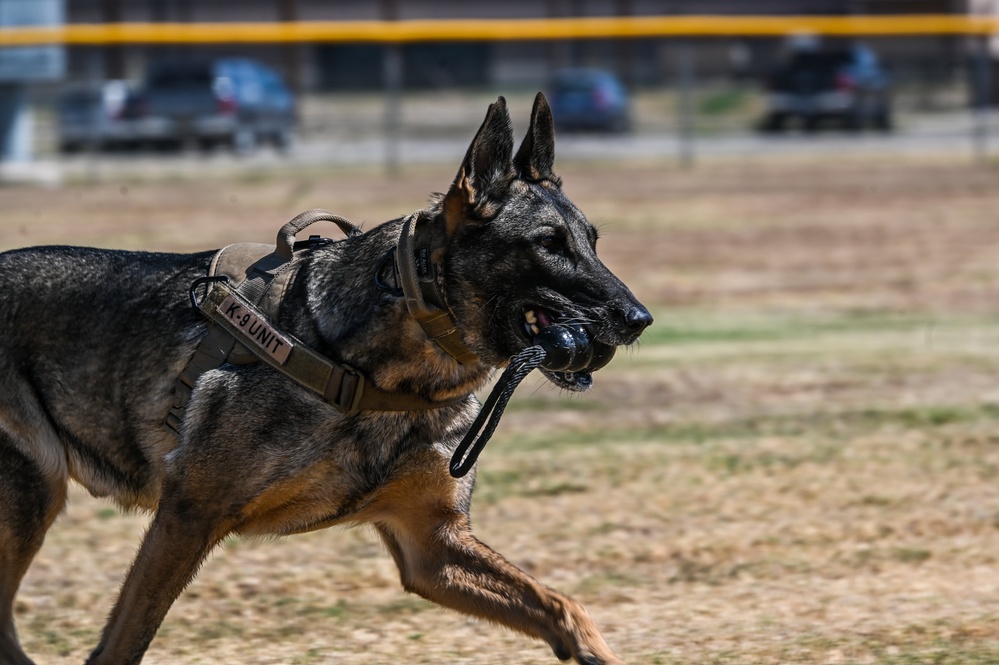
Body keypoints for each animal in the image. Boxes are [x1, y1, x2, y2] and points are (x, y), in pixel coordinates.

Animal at [0, 94, 652, 664]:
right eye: (549, 245)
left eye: (592, 243)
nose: (639, 319)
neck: (388, 373)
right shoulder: (187, 519)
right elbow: (123, 643)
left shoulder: (431, 548)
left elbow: (562, 607)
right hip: (32, 497)